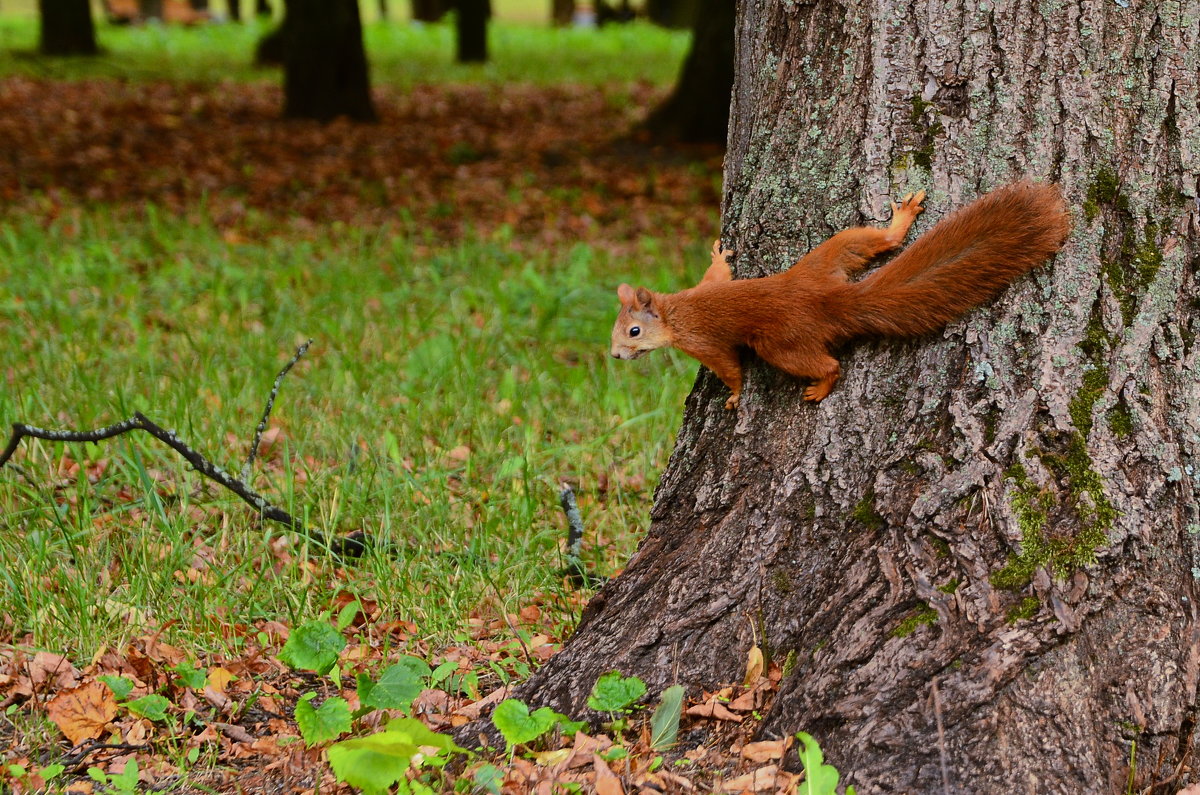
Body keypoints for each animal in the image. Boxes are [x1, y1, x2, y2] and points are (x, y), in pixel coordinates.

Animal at [614, 182, 1075, 408]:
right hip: (830, 256)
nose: (616, 357)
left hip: (780, 343)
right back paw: (901, 220)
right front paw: (719, 252)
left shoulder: (702, 341)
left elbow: (729, 368)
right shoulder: (706, 285)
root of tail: (827, 301)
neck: (675, 310)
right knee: (878, 240)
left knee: (829, 363)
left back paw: (821, 386)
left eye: (633, 332)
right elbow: (718, 273)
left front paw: (735, 396)